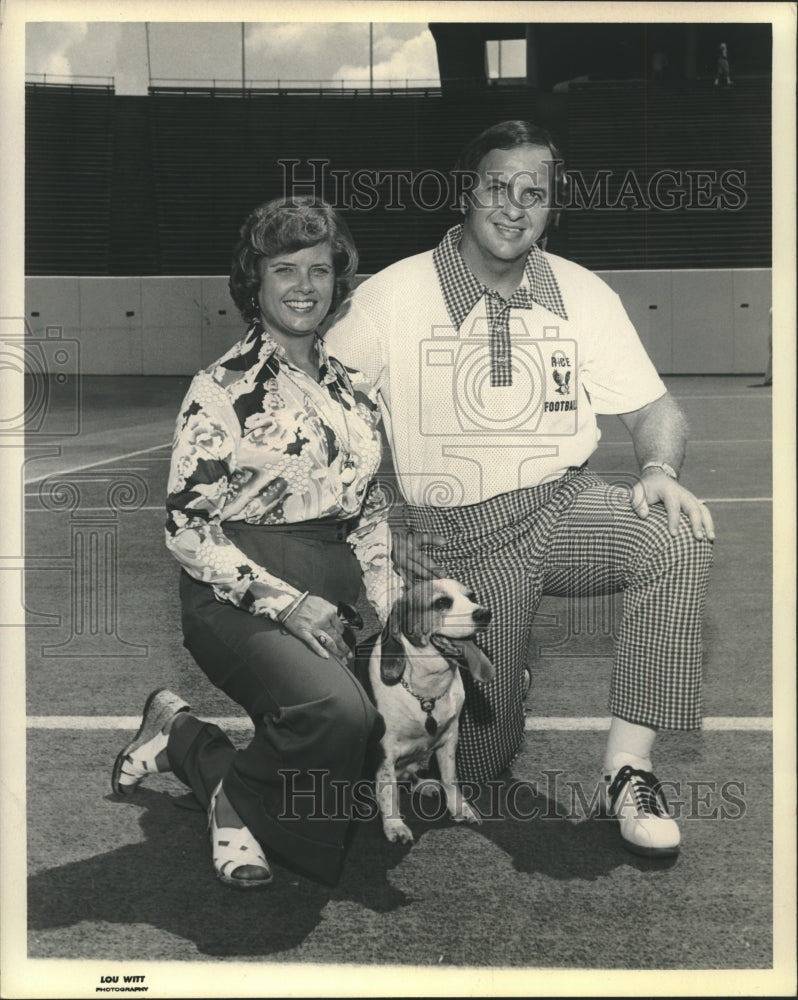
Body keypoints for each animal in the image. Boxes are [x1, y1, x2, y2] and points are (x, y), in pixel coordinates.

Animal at [356, 580, 494, 844]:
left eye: (472, 597)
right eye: (442, 603)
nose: (485, 614)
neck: (426, 693)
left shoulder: (449, 739)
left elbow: (450, 778)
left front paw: (460, 809)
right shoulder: (385, 753)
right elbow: (388, 792)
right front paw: (394, 825)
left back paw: (423, 784)